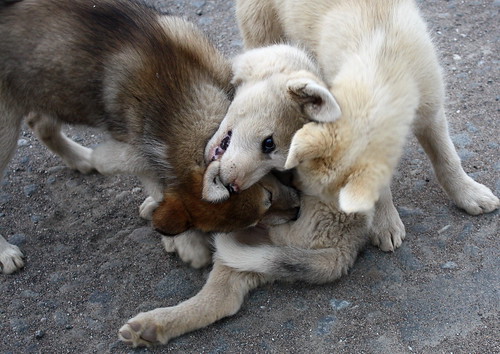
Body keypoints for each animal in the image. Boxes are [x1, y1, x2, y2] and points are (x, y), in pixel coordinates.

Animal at [0, 0, 296, 274]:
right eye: (266, 201)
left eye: (269, 193)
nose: (297, 211)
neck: (174, 94)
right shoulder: (133, 146)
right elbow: (155, 181)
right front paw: (187, 242)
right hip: (7, 129)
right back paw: (6, 253)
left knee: (40, 123)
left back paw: (80, 159)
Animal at [119, 0, 498, 348]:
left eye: (272, 149)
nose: (297, 202)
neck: (381, 58)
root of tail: (340, 253)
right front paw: (387, 221)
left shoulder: (431, 109)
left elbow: (447, 158)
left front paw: (468, 194)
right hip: (260, 25)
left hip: (253, 244)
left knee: (224, 296)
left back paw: (153, 317)